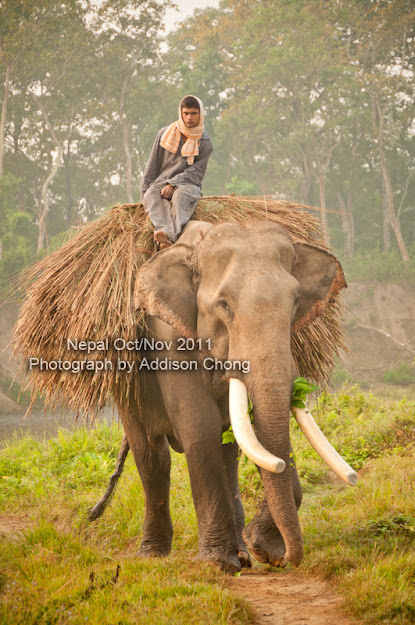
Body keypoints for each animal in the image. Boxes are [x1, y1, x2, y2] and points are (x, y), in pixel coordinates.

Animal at [94, 218, 354, 572]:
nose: (284, 558)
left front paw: (260, 548)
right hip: (126, 386)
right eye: (223, 306)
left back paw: (242, 554)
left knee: (229, 452)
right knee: (152, 456)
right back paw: (153, 554)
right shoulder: (168, 338)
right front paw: (219, 563)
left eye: (296, 302)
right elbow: (199, 429)